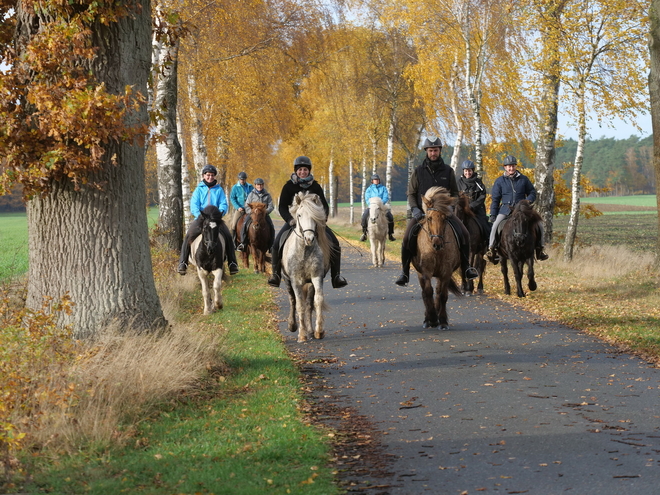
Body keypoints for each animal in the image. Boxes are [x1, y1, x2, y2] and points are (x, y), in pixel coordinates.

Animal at [282, 192, 330, 342]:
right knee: (292, 300)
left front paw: (318, 331)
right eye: (299, 215)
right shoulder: (295, 280)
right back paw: (292, 325)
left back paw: (310, 330)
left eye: (315, 216)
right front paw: (302, 334)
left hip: (309, 284)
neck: (304, 250)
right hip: (287, 280)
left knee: (309, 303)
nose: (309, 239)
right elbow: (299, 305)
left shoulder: (316, 277)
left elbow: (317, 301)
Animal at [412, 186, 464, 330]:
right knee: (425, 293)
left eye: (445, 218)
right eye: (429, 218)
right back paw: (427, 319)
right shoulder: (425, 272)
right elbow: (428, 292)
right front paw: (432, 319)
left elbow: (442, 295)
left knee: (438, 291)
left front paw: (443, 321)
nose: (437, 243)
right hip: (420, 273)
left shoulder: (446, 272)